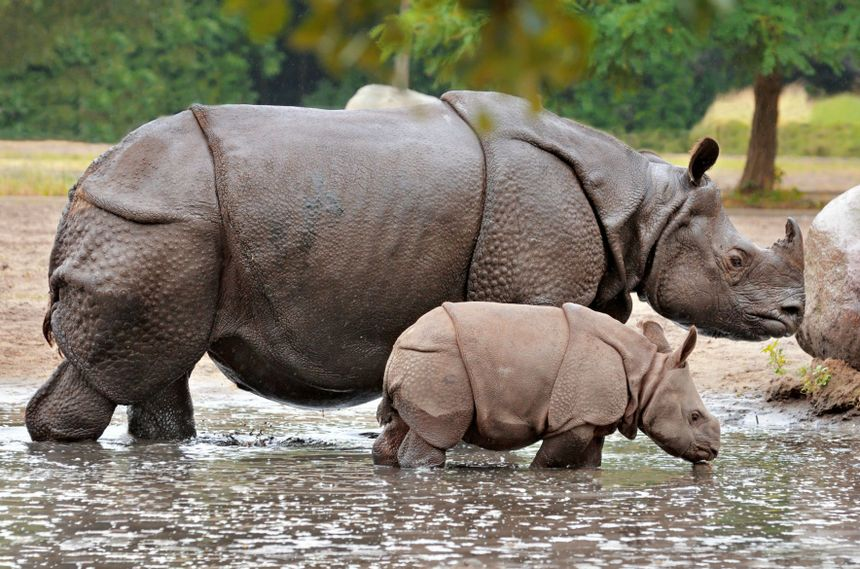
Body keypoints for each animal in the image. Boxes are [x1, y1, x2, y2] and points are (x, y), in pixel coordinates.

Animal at [26, 91, 803, 442]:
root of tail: (85, 184)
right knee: (121, 371)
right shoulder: (529, 278)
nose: (795, 313)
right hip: (157, 226)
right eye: (735, 260)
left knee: (159, 366)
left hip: (162, 229)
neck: (643, 207)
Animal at [373, 302, 720, 468]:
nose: (713, 452)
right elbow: (551, 460)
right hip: (439, 361)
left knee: (402, 426)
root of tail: (399, 348)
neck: (645, 374)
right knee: (436, 435)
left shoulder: (592, 417)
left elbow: (588, 464)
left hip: (423, 361)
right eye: (694, 417)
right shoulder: (576, 418)